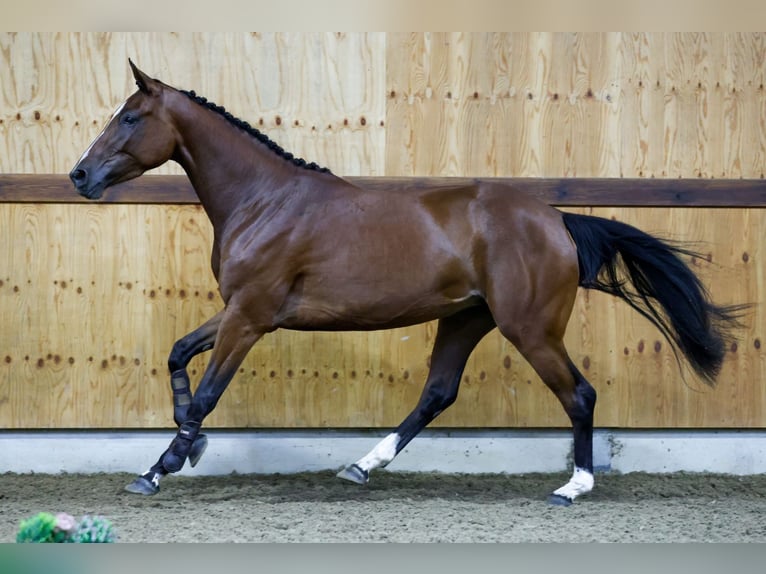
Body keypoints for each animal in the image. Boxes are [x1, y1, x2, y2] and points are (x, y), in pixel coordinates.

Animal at [70, 60, 744, 506]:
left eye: (131, 117)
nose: (80, 175)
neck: (264, 201)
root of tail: (556, 220)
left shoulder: (250, 317)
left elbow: (208, 392)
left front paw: (162, 465)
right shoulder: (238, 310)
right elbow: (178, 354)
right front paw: (187, 440)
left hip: (528, 328)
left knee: (578, 395)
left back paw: (573, 486)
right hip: (466, 318)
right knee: (437, 393)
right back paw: (362, 466)